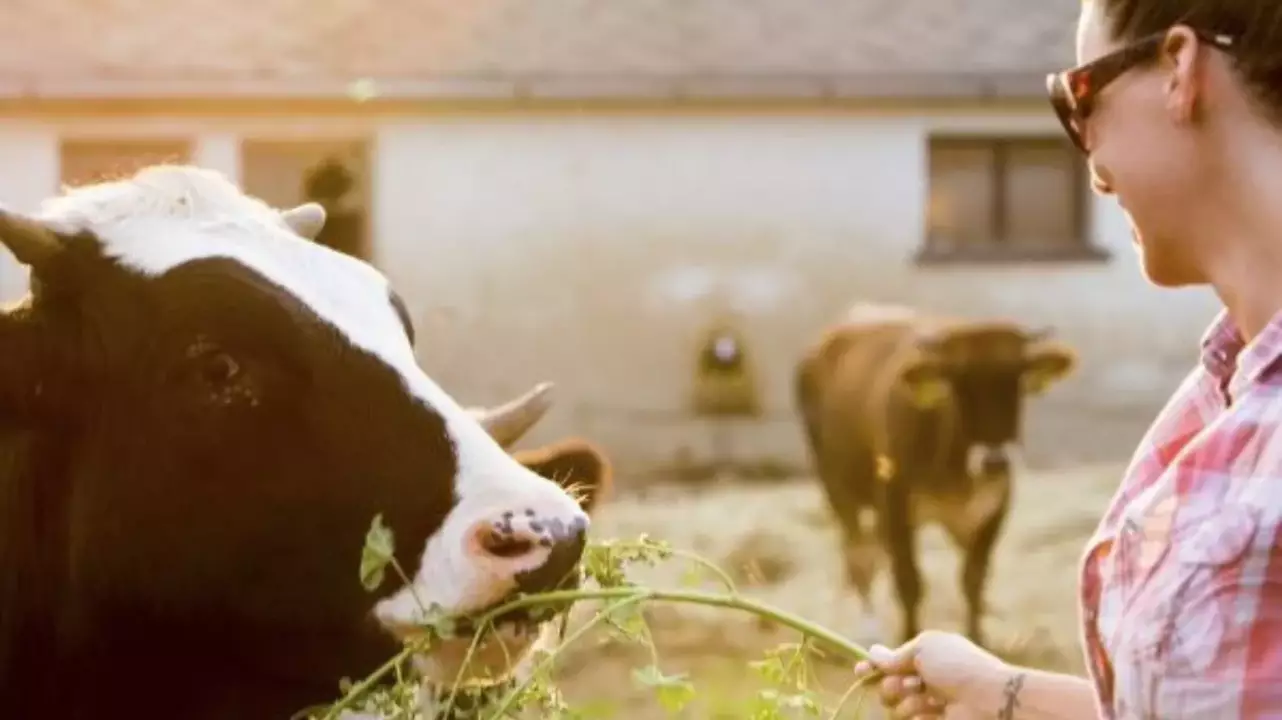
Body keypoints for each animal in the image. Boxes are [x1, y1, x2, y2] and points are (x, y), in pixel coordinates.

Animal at [794, 302, 1076, 645]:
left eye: (1016, 380)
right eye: (959, 382)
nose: (994, 460)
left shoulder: (994, 505)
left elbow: (973, 580)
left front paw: (977, 641)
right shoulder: (895, 505)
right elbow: (909, 582)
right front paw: (908, 640)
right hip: (836, 487)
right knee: (858, 557)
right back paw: (866, 629)